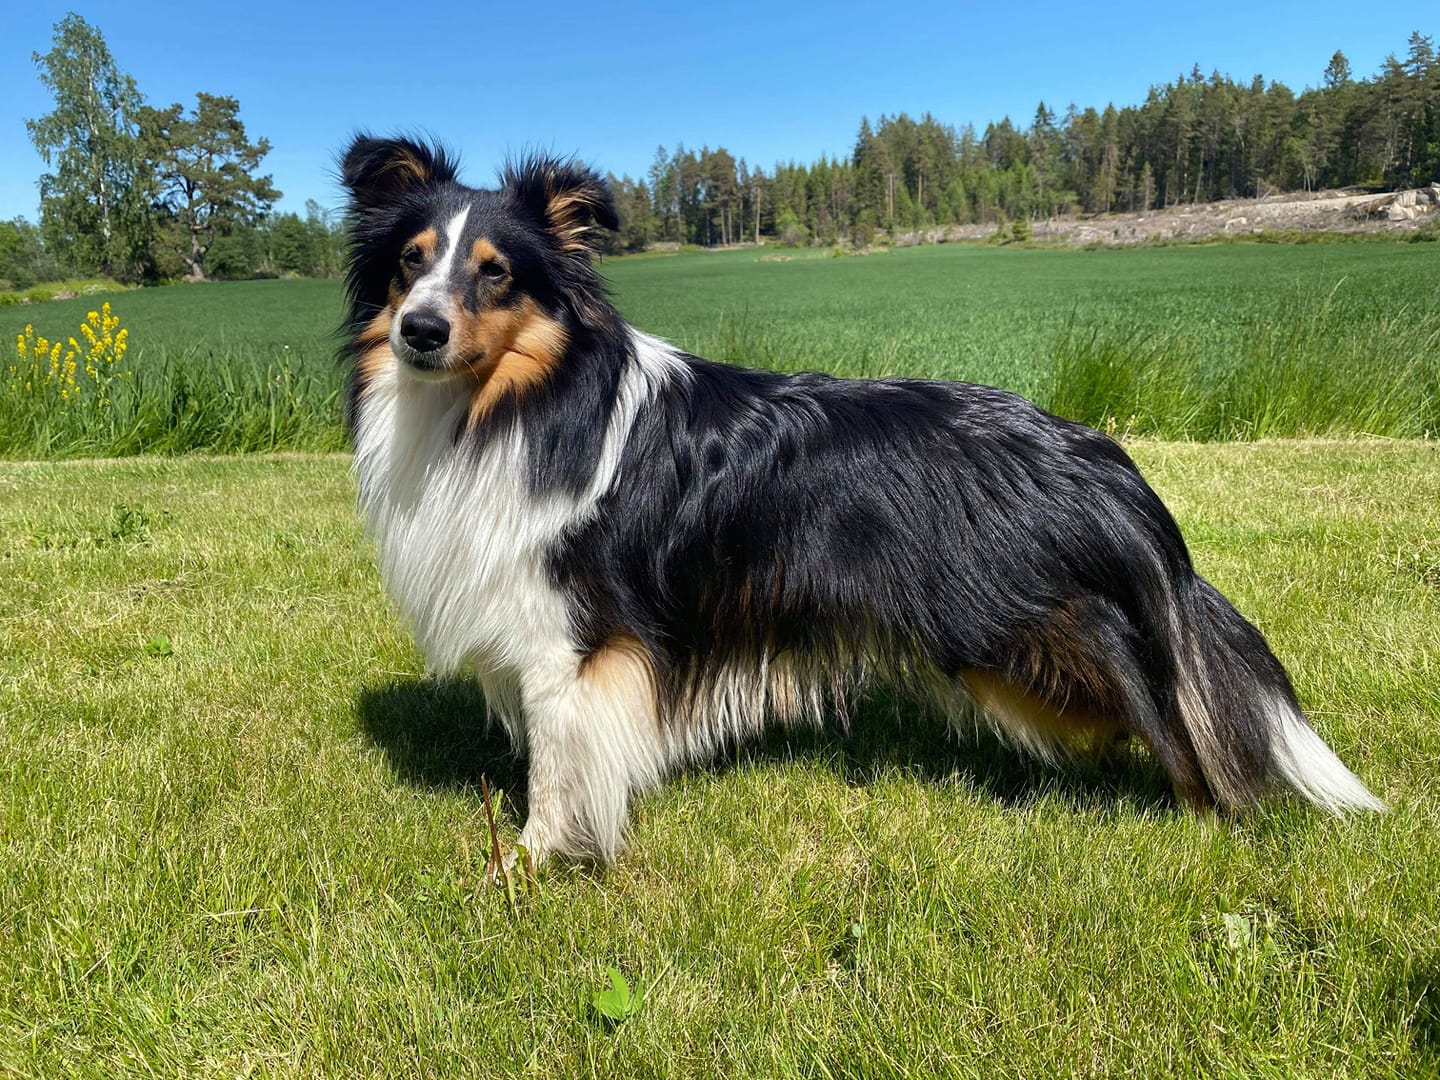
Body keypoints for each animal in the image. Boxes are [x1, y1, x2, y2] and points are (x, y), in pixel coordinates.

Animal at [339, 135, 1384, 867]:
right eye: (410, 262)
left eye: (496, 272)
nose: (420, 332)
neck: (521, 401)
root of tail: (1095, 455)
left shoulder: (575, 642)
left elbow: (556, 768)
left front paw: (529, 864)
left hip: (1035, 641)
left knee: (1182, 720)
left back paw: (1208, 821)